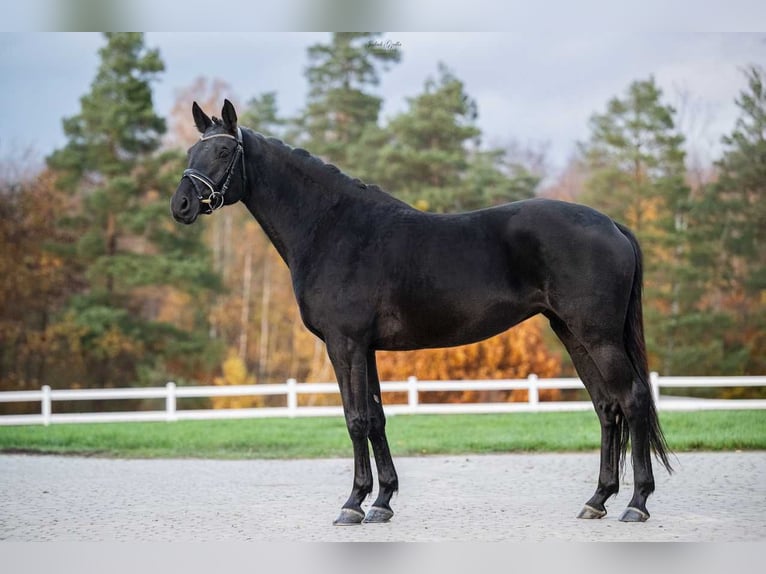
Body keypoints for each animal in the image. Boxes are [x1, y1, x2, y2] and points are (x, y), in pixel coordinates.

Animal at [172, 102, 672, 528]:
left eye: (222, 151)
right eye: (191, 151)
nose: (181, 206)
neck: (334, 229)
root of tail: (612, 225)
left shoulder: (344, 344)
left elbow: (356, 419)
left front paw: (352, 504)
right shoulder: (365, 348)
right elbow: (376, 418)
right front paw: (381, 502)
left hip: (598, 335)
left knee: (632, 399)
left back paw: (637, 503)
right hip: (572, 333)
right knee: (607, 407)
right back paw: (598, 500)